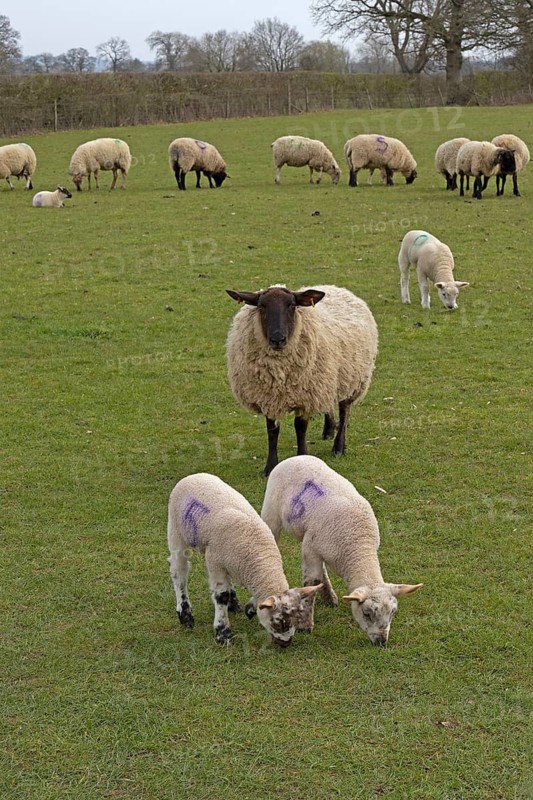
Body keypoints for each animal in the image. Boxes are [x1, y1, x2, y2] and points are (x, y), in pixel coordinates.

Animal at [167, 472, 322, 646]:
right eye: (278, 621)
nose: (286, 644)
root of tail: (194, 475)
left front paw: (249, 608)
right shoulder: (215, 563)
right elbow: (221, 596)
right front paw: (223, 634)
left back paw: (234, 604)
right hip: (175, 530)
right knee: (179, 571)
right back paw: (185, 614)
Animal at [226, 284, 378, 476]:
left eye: (291, 305)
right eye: (262, 306)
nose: (278, 339)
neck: (280, 372)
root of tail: (336, 287)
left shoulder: (306, 396)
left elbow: (300, 427)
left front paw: (302, 457)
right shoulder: (268, 396)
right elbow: (272, 430)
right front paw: (270, 467)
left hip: (353, 379)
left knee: (345, 411)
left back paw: (338, 446)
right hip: (328, 380)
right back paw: (329, 429)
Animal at [261, 455, 423, 645]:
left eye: (393, 613)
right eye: (367, 614)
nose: (382, 641)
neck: (358, 546)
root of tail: (295, 457)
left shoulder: (314, 548)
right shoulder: (311, 550)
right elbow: (311, 585)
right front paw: (305, 625)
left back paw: (330, 597)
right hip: (271, 514)